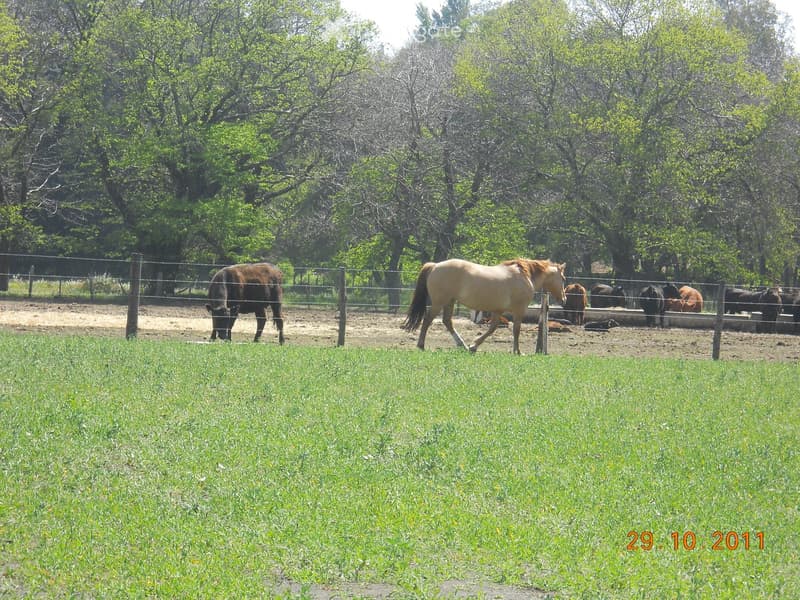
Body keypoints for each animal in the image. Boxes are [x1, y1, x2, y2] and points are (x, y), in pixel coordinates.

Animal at [401, 258, 566, 354]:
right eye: (563, 278)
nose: (564, 299)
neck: (525, 276)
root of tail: (435, 265)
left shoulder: (498, 311)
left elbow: (492, 329)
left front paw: (474, 346)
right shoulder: (519, 310)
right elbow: (516, 330)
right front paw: (518, 351)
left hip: (450, 302)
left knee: (447, 321)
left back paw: (462, 345)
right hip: (439, 302)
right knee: (427, 320)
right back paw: (421, 345)